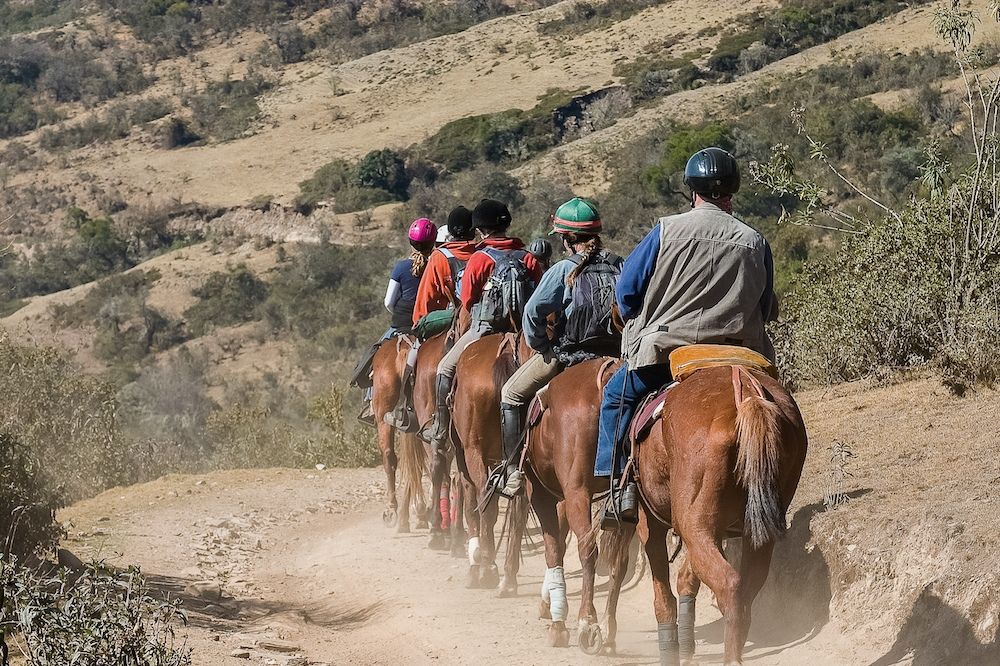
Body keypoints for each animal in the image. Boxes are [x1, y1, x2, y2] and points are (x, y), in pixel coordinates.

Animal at [452, 332, 532, 592]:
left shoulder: (465, 458)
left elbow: (471, 506)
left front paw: (475, 563)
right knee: (520, 503)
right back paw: (508, 576)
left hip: (473, 452)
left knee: (484, 497)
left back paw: (487, 568)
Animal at [604, 364, 808, 664]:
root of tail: (748, 391)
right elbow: (687, 578)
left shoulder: (649, 523)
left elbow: (662, 593)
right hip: (750, 532)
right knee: (746, 590)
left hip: (694, 526)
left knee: (729, 585)